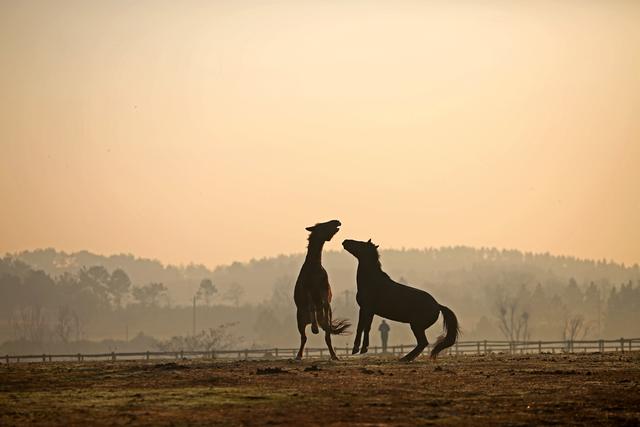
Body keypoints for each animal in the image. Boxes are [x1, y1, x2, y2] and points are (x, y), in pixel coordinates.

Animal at [296, 221, 350, 362]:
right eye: (322, 225)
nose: (337, 221)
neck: (314, 268)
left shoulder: (324, 290)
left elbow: (325, 304)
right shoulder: (308, 290)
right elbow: (311, 305)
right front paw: (315, 328)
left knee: (327, 336)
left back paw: (334, 355)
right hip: (300, 321)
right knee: (303, 338)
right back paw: (299, 355)